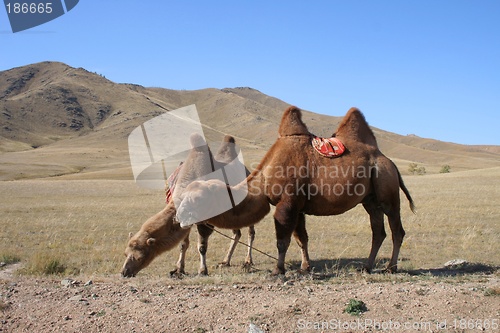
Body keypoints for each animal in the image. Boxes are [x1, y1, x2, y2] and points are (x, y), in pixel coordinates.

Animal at [120, 134, 254, 276]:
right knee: (237, 233)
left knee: (250, 232)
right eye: (125, 253)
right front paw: (179, 269)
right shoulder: (184, 217)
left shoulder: (206, 219)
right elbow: (183, 244)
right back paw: (225, 261)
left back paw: (248, 261)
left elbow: (202, 246)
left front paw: (202, 270)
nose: (124, 272)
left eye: (140, 257)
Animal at [176, 105, 414, 274]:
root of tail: (389, 162)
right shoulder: (298, 206)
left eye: (198, 199)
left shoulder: (288, 202)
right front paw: (304, 268)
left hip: (387, 189)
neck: (263, 181)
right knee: (378, 231)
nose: (179, 215)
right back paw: (367, 267)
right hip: (370, 200)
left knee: (396, 229)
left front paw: (278, 270)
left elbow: (283, 240)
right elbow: (302, 238)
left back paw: (391, 267)